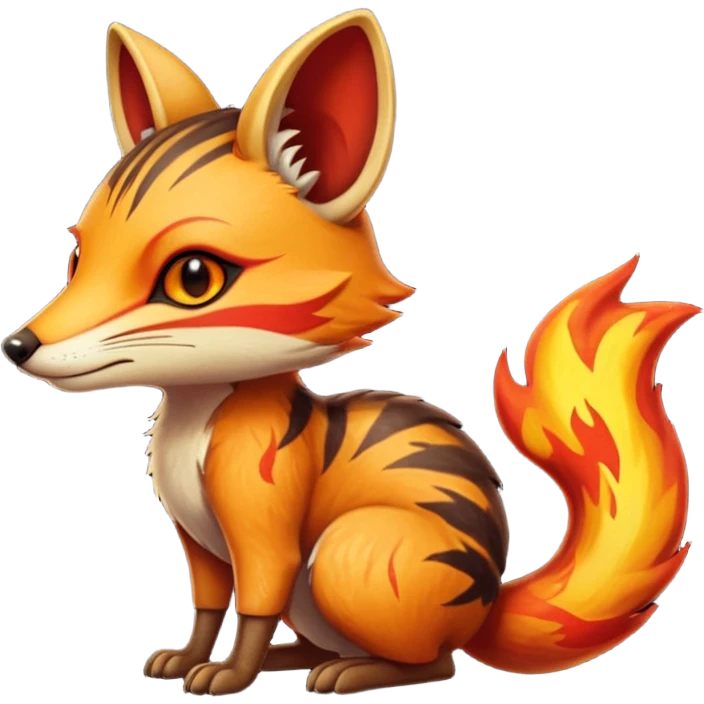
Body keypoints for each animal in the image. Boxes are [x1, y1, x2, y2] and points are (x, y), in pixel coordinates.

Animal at [1, 8, 697, 696]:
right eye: (77, 256)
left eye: (194, 278)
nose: (16, 346)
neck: (196, 420)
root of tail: (488, 607)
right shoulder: (197, 544)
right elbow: (206, 605)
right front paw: (189, 657)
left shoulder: (266, 533)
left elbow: (252, 605)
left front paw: (229, 675)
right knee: (329, 643)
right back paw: (299, 658)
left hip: (346, 553)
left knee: (436, 664)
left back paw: (355, 672)